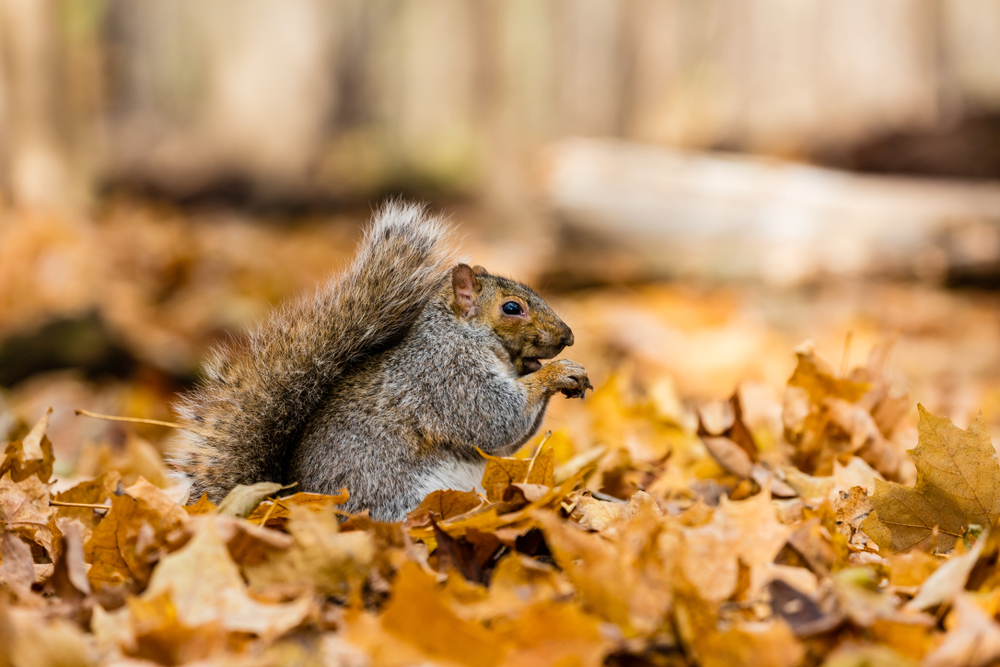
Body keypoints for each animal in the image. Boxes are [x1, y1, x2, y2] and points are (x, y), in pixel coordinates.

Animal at [172, 202, 592, 521]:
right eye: (512, 308)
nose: (568, 337)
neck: (462, 335)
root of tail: (287, 500)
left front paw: (544, 370)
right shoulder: (447, 376)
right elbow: (495, 419)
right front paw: (556, 373)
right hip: (396, 497)